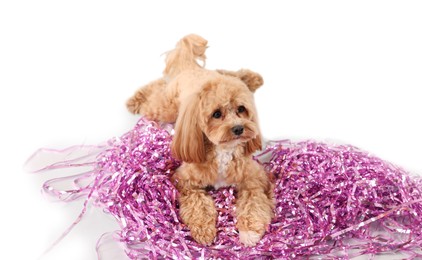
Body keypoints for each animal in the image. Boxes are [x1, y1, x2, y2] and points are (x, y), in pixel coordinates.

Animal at [127, 34, 276, 246]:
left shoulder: (254, 178)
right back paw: (134, 100)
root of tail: (191, 69)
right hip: (166, 108)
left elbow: (254, 202)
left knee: (228, 72)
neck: (223, 151)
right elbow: (198, 203)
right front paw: (204, 231)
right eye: (216, 114)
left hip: (218, 75)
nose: (239, 128)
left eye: (241, 109)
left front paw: (250, 231)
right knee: (156, 89)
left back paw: (251, 77)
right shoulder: (185, 181)